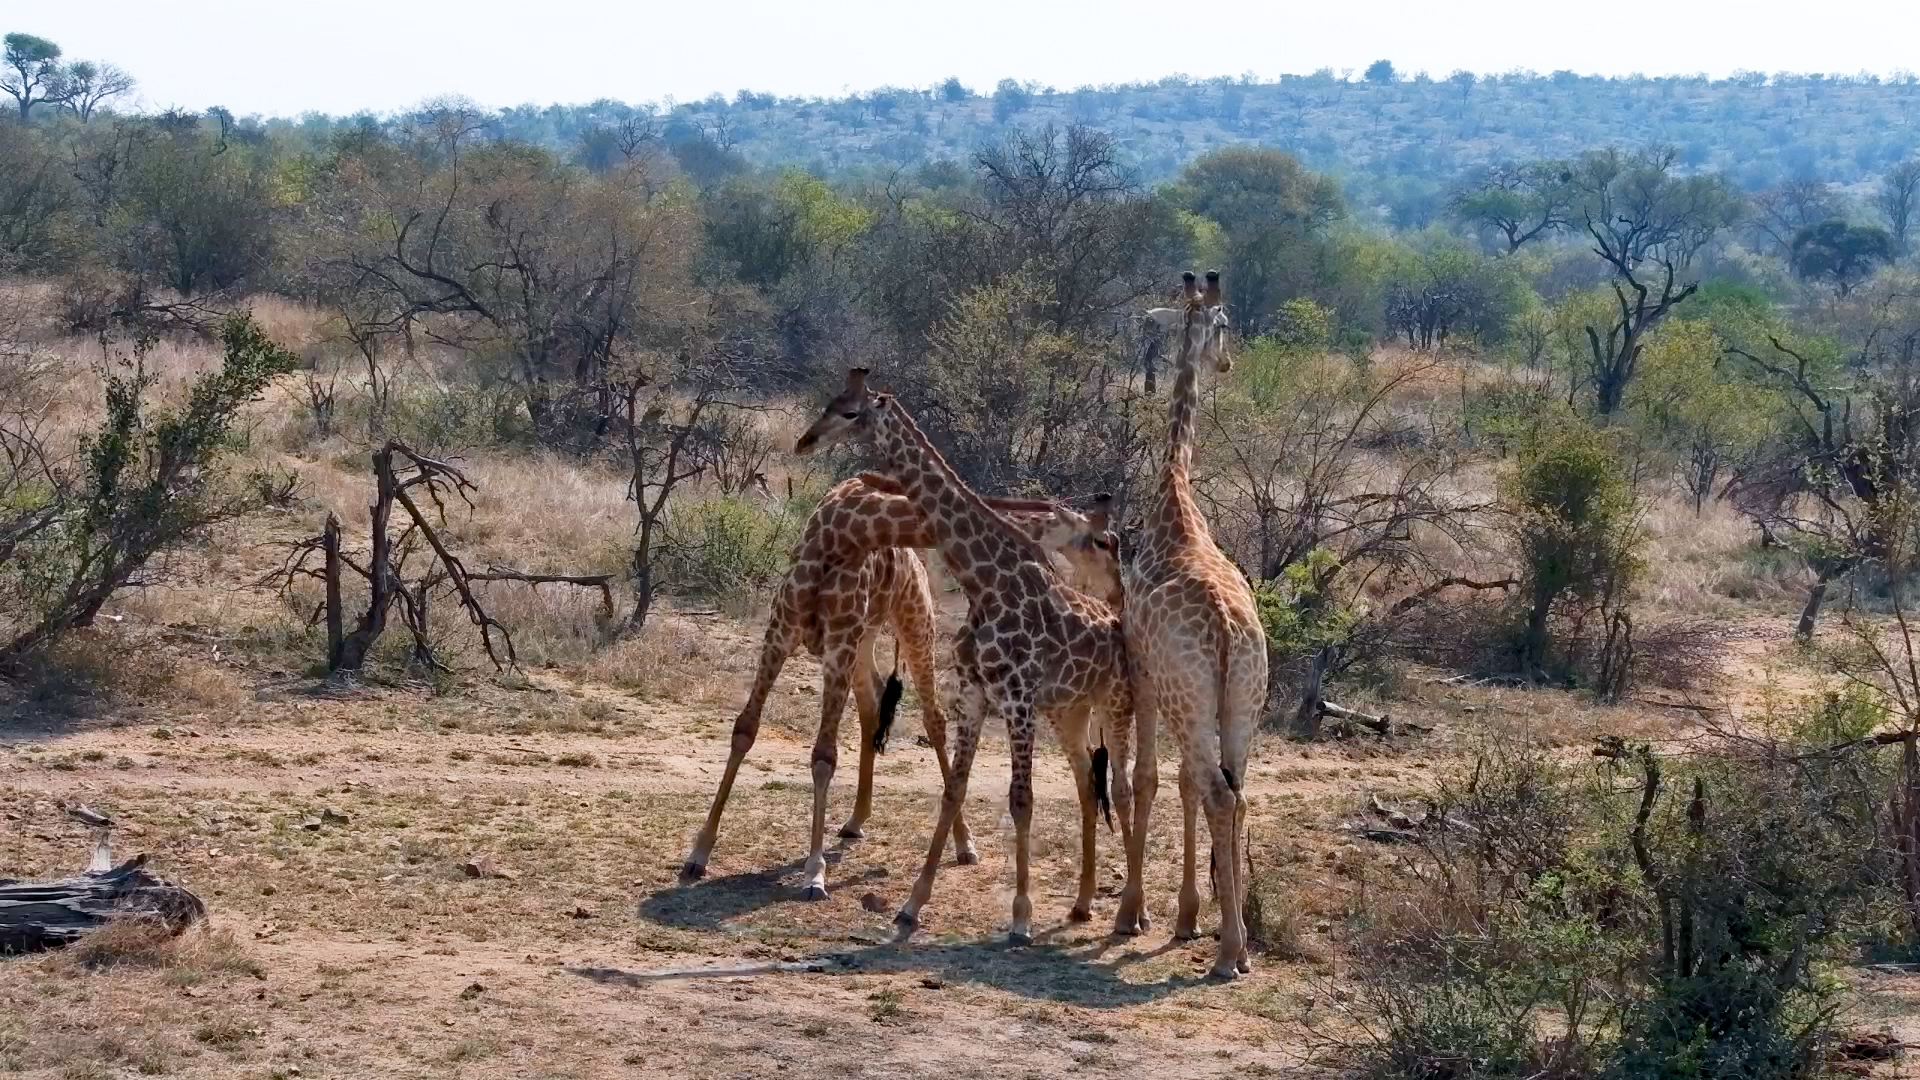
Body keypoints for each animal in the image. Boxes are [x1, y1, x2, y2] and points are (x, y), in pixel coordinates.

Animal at [679, 472, 1116, 900]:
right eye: (1104, 541)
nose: (1114, 593)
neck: (847, 530)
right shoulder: (782, 630)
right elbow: (745, 730)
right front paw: (698, 854)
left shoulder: (839, 640)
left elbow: (823, 755)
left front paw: (815, 873)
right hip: (865, 641)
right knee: (872, 703)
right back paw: (856, 819)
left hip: (913, 625)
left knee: (933, 720)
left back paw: (964, 844)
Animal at [795, 370, 1137, 945]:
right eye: (829, 402)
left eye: (850, 413)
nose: (806, 441)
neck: (985, 581)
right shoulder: (975, 695)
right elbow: (953, 789)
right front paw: (911, 906)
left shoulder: (1016, 699)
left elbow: (1021, 800)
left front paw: (1020, 918)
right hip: (1069, 711)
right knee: (1090, 785)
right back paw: (1083, 904)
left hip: (1116, 706)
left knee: (1126, 788)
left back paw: (1133, 912)